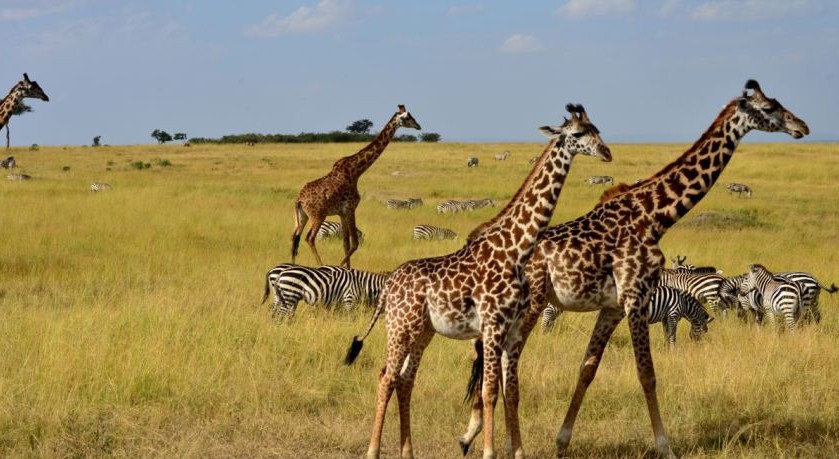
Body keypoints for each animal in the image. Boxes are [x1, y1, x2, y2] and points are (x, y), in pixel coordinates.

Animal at [260, 262, 388, 320]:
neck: (361, 284)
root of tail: (278, 272)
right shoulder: (348, 299)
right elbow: (350, 318)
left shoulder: (339, 302)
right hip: (289, 295)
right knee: (280, 313)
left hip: (281, 295)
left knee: (274, 310)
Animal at [292, 104, 424, 268]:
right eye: (407, 117)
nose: (418, 126)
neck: (356, 171)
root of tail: (299, 200)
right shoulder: (351, 208)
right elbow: (354, 244)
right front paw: (340, 267)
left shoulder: (342, 212)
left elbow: (346, 244)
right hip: (318, 215)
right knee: (309, 238)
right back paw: (320, 265)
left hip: (301, 216)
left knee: (294, 239)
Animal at [344, 104, 612, 459]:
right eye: (579, 133)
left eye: (598, 130)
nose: (607, 152)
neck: (516, 248)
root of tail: (389, 285)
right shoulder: (493, 324)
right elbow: (489, 392)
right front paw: (488, 452)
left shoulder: (510, 327)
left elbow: (510, 390)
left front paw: (517, 452)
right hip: (399, 327)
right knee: (386, 377)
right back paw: (373, 451)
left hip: (423, 331)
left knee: (404, 380)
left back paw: (408, 451)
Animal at [540, 286, 712, 346]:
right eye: (704, 332)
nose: (698, 345)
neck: (684, 304)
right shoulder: (673, 314)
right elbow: (672, 335)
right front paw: (672, 349)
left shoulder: (665, 317)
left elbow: (666, 333)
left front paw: (666, 348)